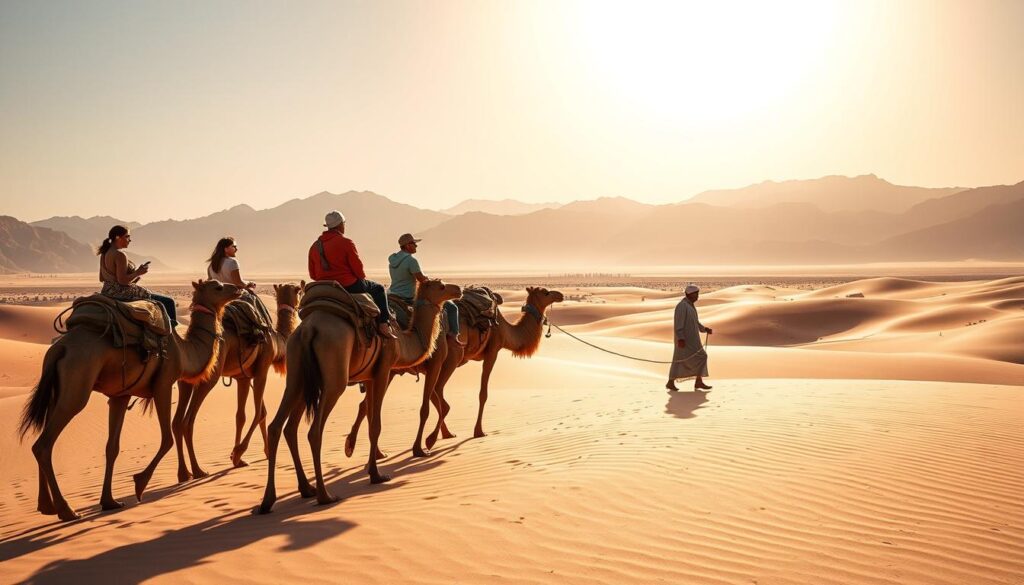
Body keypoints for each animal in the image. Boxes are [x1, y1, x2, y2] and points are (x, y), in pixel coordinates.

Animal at [19, 280, 242, 521]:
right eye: (217, 287)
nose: (238, 288)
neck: (184, 351)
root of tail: (60, 348)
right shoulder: (164, 384)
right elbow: (167, 439)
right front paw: (140, 484)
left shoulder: (121, 396)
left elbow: (112, 447)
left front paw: (109, 501)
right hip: (76, 387)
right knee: (43, 444)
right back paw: (66, 510)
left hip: (56, 391)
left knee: (44, 436)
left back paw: (46, 506)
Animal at [173, 282, 302, 482]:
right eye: (299, 291)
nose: (300, 304)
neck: (278, 341)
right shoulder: (262, 370)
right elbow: (259, 413)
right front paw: (238, 452)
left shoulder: (244, 378)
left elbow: (242, 416)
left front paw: (252, 455)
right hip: (209, 378)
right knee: (188, 421)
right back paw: (198, 471)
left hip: (185, 381)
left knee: (177, 422)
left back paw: (183, 473)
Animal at [254, 279, 461, 514]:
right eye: (441, 286)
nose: (458, 290)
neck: (403, 338)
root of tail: (308, 330)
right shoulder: (385, 369)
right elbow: (377, 423)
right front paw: (379, 473)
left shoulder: (371, 375)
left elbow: (369, 416)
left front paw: (367, 459)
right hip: (334, 377)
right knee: (314, 431)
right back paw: (325, 495)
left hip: (297, 374)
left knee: (280, 427)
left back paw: (282, 496)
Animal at [345, 286, 564, 458]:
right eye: (546, 292)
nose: (560, 294)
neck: (504, 329)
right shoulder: (491, 351)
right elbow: (481, 394)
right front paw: (477, 431)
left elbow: (439, 397)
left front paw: (444, 435)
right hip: (449, 357)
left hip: (392, 368)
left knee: (366, 404)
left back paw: (362, 448)